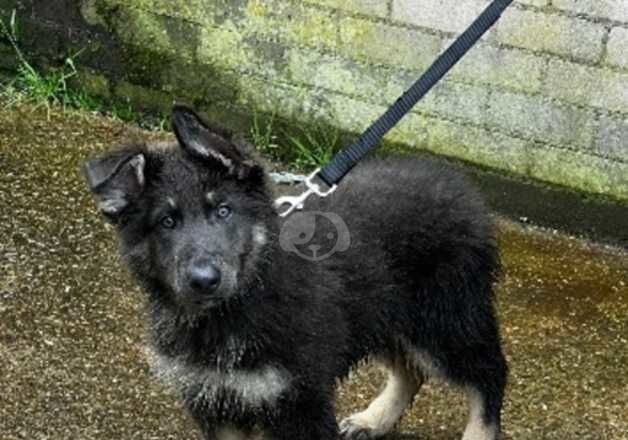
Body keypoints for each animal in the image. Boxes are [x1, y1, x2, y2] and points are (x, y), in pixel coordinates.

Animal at [84, 106, 506, 440]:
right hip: (385, 313)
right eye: (167, 222)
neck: (235, 308)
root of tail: (460, 185)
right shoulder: (218, 402)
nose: (204, 280)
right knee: (411, 371)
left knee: (490, 374)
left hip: (444, 321)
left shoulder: (300, 401)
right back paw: (374, 420)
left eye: (223, 211)